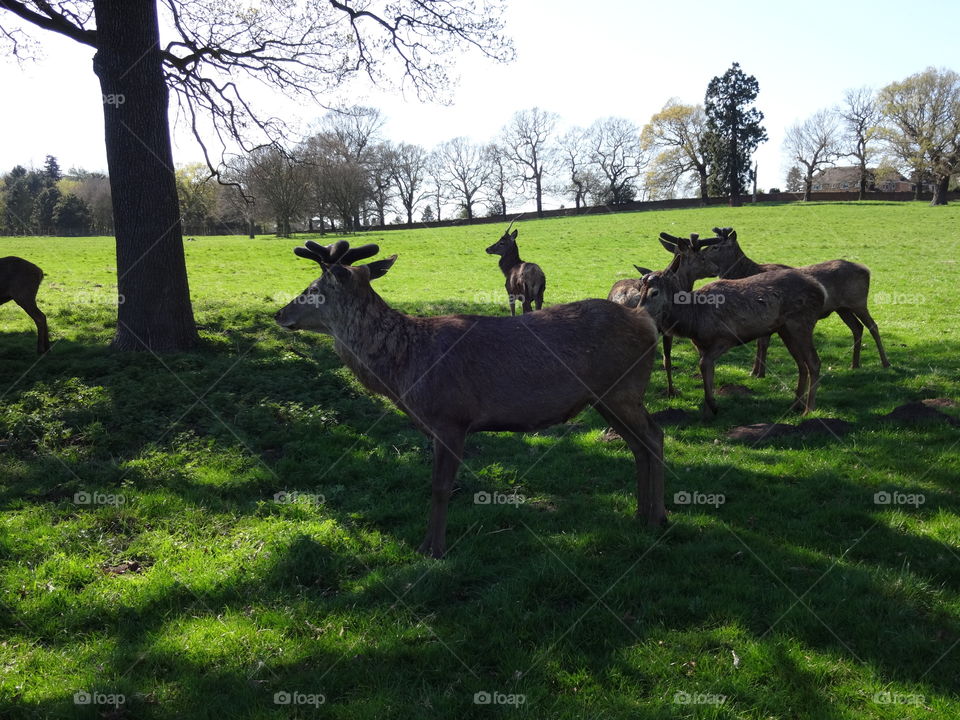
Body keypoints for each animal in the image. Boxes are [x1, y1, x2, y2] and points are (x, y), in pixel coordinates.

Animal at [276, 239, 668, 560]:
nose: (279, 314)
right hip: (604, 397)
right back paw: (640, 513)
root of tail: (645, 320)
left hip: (623, 389)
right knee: (638, 445)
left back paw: (658, 517)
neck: (404, 369)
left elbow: (440, 487)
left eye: (313, 288)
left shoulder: (451, 417)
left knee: (654, 436)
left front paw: (432, 549)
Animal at [696, 228, 892, 376]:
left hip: (858, 301)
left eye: (715, 247)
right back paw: (855, 364)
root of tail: (867, 270)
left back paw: (885, 362)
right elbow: (760, 343)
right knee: (857, 328)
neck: (746, 273)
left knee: (873, 326)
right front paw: (755, 371)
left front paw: (758, 373)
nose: (700, 255)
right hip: (842, 308)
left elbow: (762, 344)